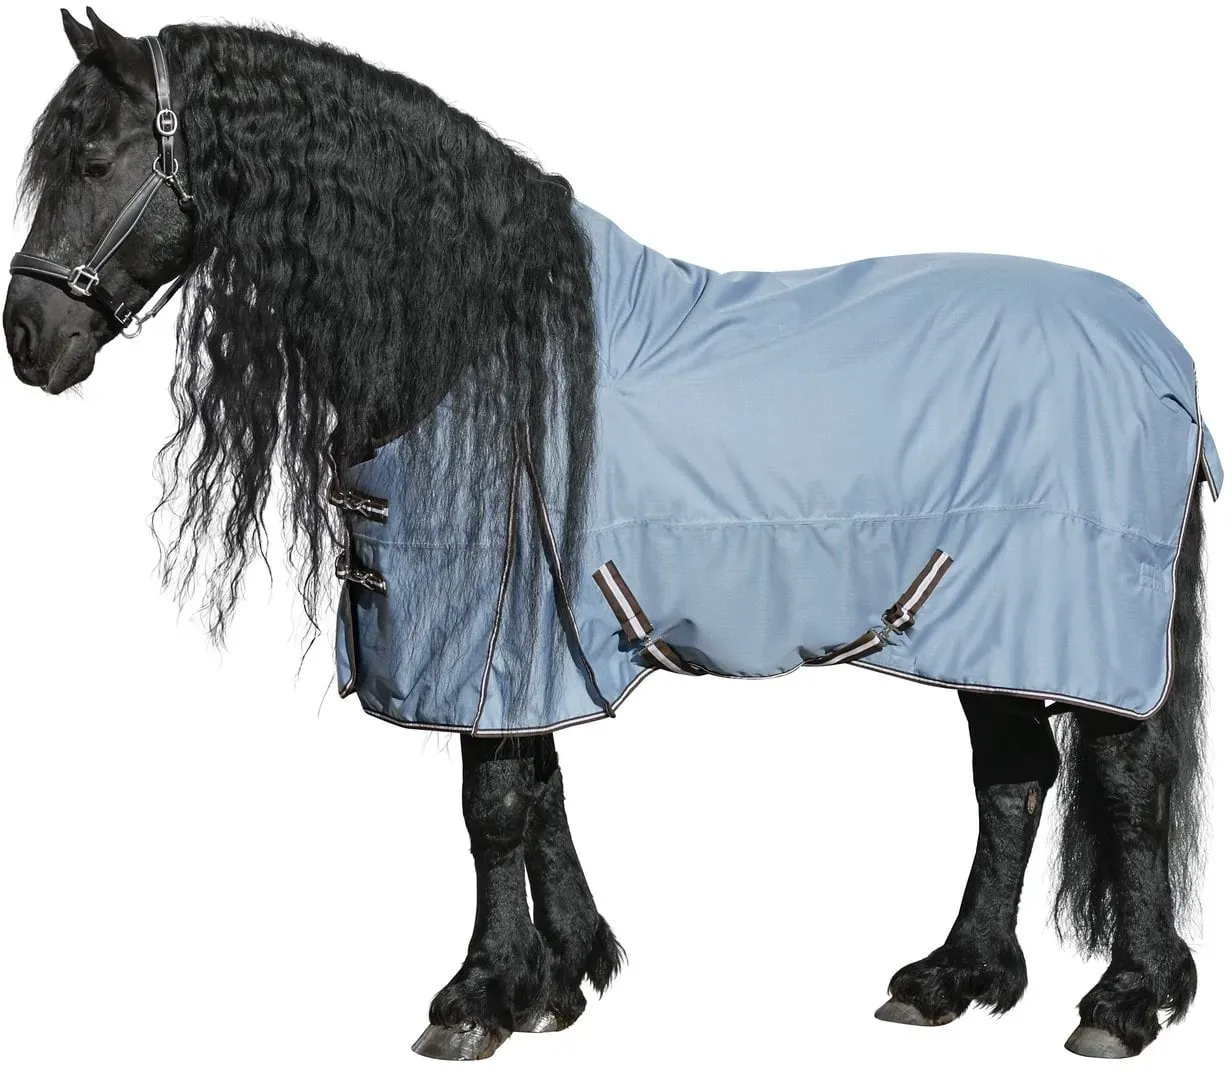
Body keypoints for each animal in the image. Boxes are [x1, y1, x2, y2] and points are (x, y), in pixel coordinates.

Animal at [4, 10, 1220, 1062]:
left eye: (97, 158)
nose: (26, 336)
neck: (474, 336)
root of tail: (1161, 356)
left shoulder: (492, 624)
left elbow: (492, 805)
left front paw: (477, 996)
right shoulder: (532, 634)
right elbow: (540, 790)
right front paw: (561, 976)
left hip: (1079, 631)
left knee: (1123, 787)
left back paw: (1123, 999)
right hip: (987, 628)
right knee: (1013, 780)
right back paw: (953, 978)